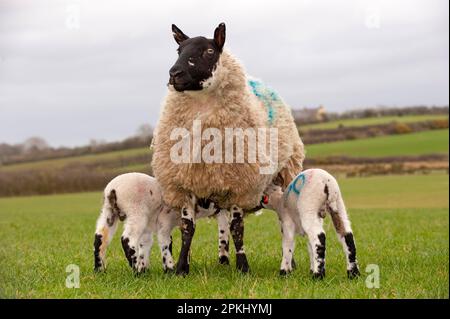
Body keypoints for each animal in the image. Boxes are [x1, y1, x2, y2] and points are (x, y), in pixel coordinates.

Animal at [92, 174, 232, 274]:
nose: (221, 207)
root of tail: (112, 189)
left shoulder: (154, 228)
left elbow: (149, 244)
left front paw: (149, 268)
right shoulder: (165, 220)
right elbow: (165, 243)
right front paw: (170, 269)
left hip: (108, 212)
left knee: (100, 237)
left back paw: (99, 270)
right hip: (137, 212)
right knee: (127, 238)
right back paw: (136, 270)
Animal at [152, 23, 306, 278]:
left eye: (209, 51)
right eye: (178, 50)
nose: (174, 74)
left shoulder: (239, 185)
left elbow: (238, 229)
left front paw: (243, 267)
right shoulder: (184, 184)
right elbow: (188, 229)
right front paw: (182, 268)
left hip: (285, 175)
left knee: (284, 223)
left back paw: (290, 264)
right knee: (222, 224)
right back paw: (223, 260)